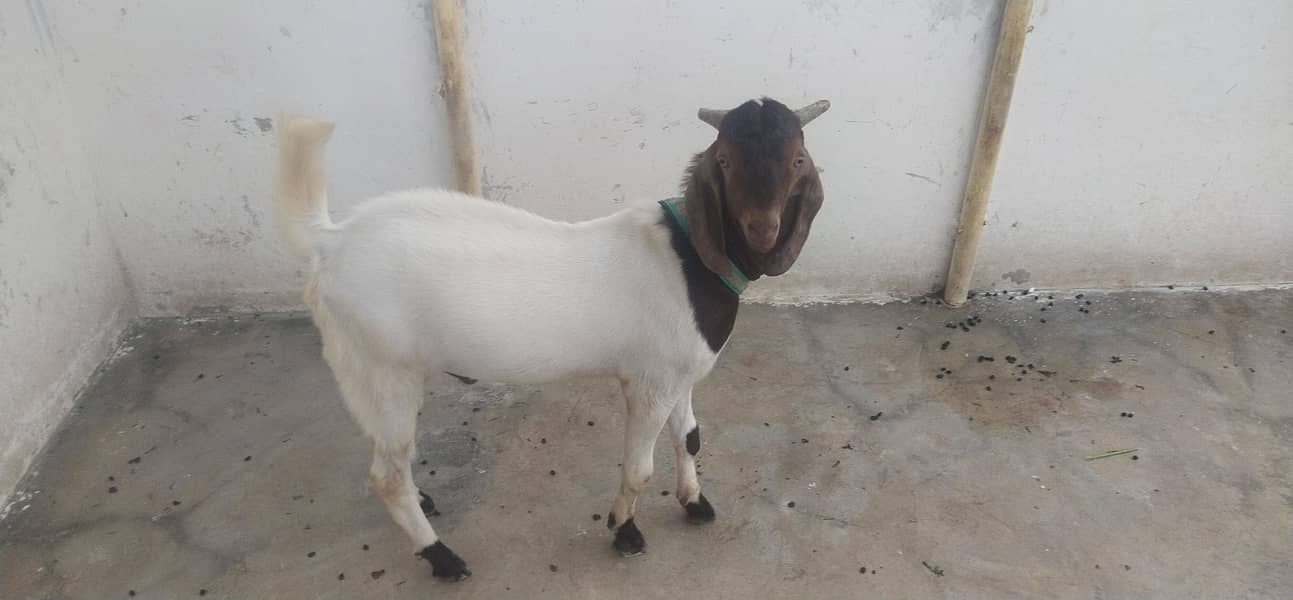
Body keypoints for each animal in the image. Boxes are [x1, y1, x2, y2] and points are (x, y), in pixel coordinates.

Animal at [273, 97, 830, 580]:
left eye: (797, 158)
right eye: (726, 160)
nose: (762, 228)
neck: (688, 257)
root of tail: (331, 240)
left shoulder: (679, 372)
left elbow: (689, 436)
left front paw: (694, 502)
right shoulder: (648, 383)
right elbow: (638, 468)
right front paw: (624, 530)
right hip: (380, 365)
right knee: (386, 475)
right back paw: (441, 555)